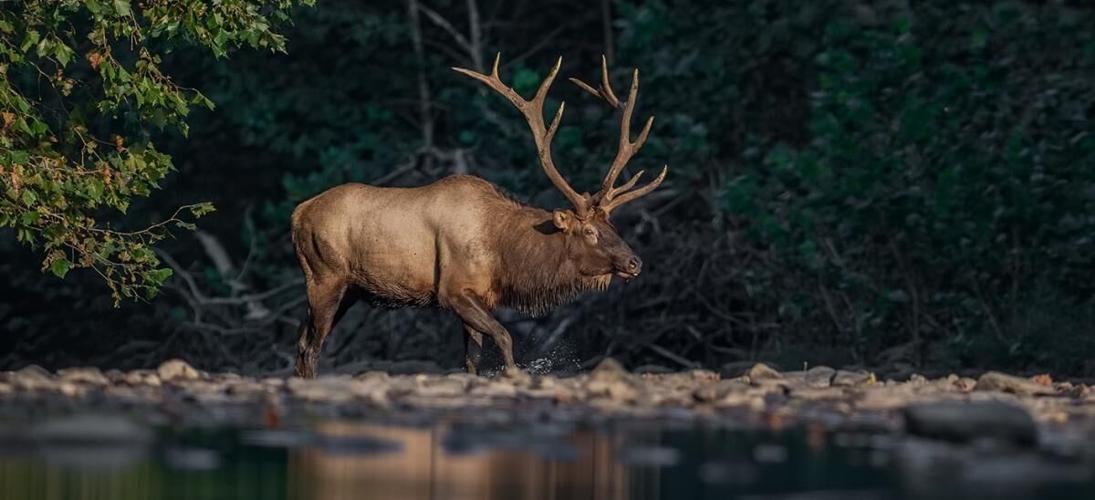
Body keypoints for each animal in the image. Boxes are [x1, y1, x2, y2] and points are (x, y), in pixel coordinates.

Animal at [291, 54, 668, 378]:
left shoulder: (479, 296)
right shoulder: (452, 290)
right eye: (589, 231)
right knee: (311, 346)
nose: (634, 262)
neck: (505, 254)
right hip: (325, 275)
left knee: (301, 342)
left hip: (350, 289)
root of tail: (297, 213)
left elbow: (472, 359)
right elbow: (504, 336)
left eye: (611, 224)